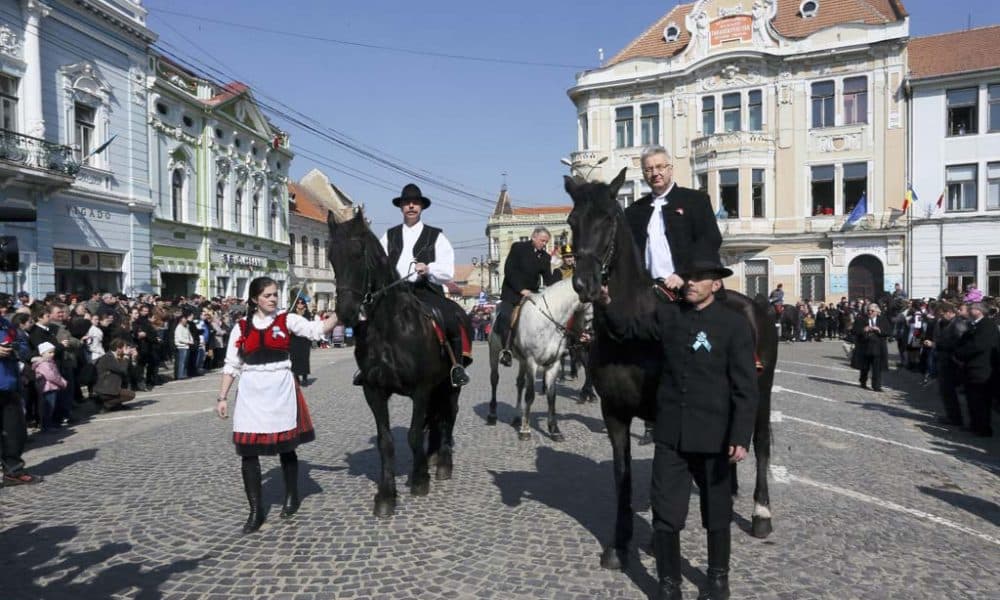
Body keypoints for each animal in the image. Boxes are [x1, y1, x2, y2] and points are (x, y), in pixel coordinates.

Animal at [328, 207, 460, 516]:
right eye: (330, 257)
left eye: (358, 253)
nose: (346, 313)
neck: (390, 328)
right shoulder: (374, 391)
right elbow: (385, 441)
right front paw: (386, 495)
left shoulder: (421, 390)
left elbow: (412, 435)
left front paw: (420, 479)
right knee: (436, 420)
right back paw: (432, 456)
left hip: (451, 384)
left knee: (449, 416)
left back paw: (443, 463)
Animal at [486, 280, 588, 440]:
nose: (587, 337)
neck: (548, 322)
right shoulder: (531, 362)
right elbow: (530, 395)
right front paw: (525, 430)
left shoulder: (553, 364)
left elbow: (551, 396)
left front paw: (554, 429)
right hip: (494, 352)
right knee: (494, 379)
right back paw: (492, 415)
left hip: (522, 361)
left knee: (520, 383)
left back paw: (517, 417)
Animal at [564, 171, 780, 568]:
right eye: (572, 222)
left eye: (609, 219)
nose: (584, 284)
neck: (631, 333)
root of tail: (756, 305)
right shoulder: (614, 412)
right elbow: (622, 474)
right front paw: (619, 544)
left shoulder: (663, 412)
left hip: (762, 391)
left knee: (759, 444)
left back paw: (761, 514)